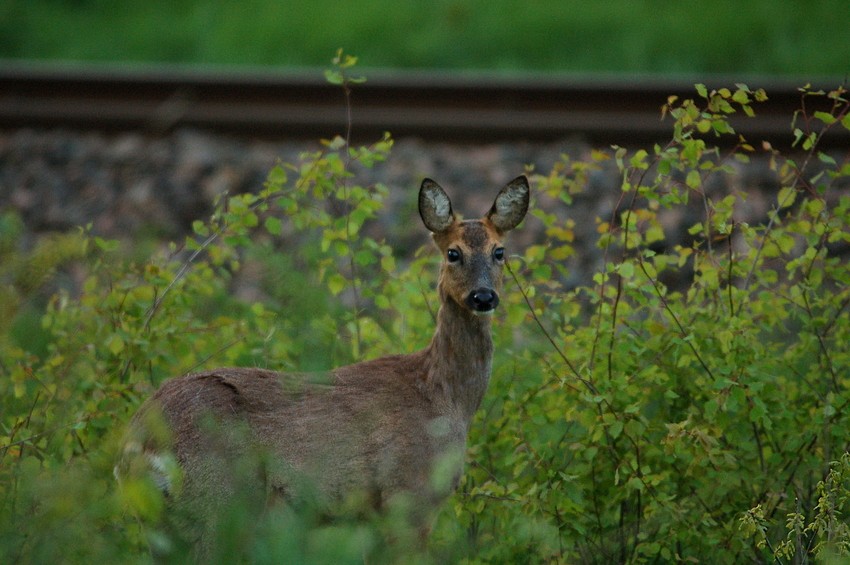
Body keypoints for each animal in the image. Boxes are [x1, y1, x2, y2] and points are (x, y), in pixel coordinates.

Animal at [117, 174, 528, 556]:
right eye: (453, 253)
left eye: (500, 251)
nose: (484, 296)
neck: (445, 398)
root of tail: (138, 443)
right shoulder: (408, 494)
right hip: (220, 504)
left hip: (164, 524)